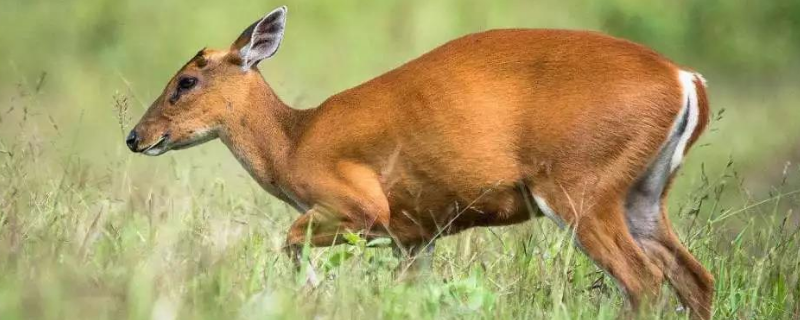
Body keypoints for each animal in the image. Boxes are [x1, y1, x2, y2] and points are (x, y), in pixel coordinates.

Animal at [128, 6, 716, 318]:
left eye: (186, 81)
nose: (136, 136)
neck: (293, 142)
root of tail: (686, 79)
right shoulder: (415, 234)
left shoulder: (360, 205)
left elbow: (289, 240)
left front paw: (312, 294)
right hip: (643, 192)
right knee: (694, 276)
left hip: (581, 184)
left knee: (642, 279)